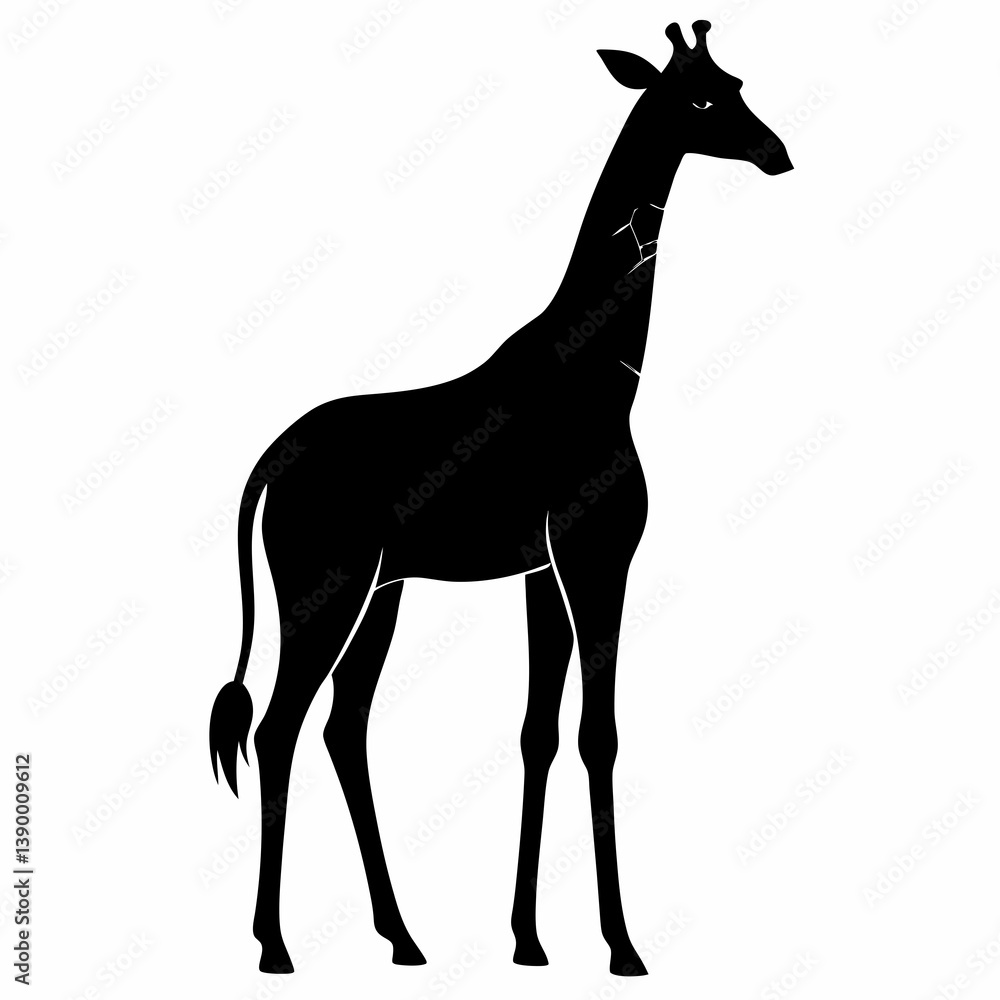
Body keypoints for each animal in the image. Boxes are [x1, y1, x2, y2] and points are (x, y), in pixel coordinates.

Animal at [210, 19, 792, 978]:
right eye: (702, 97)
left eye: (739, 82)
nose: (777, 152)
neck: (604, 375)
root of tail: (267, 463)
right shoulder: (598, 556)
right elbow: (597, 734)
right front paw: (622, 946)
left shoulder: (541, 570)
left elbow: (537, 734)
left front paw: (528, 939)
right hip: (323, 587)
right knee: (278, 729)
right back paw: (275, 946)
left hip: (382, 591)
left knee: (342, 727)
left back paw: (403, 937)